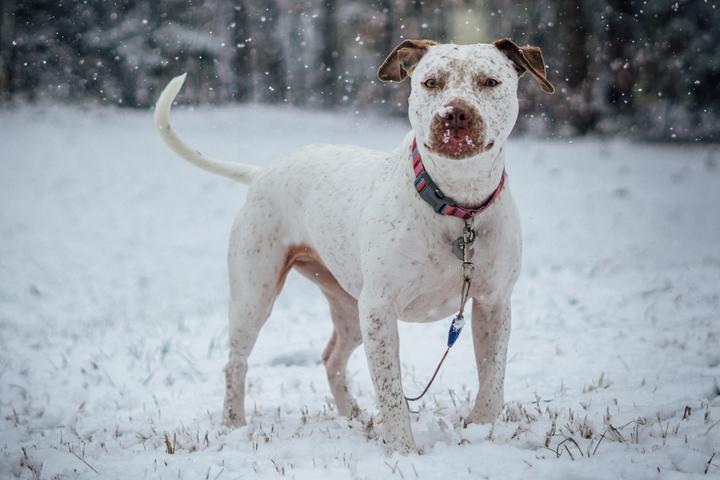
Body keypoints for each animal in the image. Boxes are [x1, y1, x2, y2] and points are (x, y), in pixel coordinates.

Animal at [155, 38, 556, 454]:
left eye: (490, 81)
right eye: (431, 82)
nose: (454, 114)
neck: (459, 207)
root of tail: (263, 172)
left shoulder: (494, 303)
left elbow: (493, 379)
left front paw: (479, 431)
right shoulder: (380, 309)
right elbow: (392, 392)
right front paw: (403, 451)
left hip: (349, 306)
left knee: (331, 357)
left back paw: (351, 415)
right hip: (255, 293)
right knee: (236, 360)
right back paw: (234, 424)